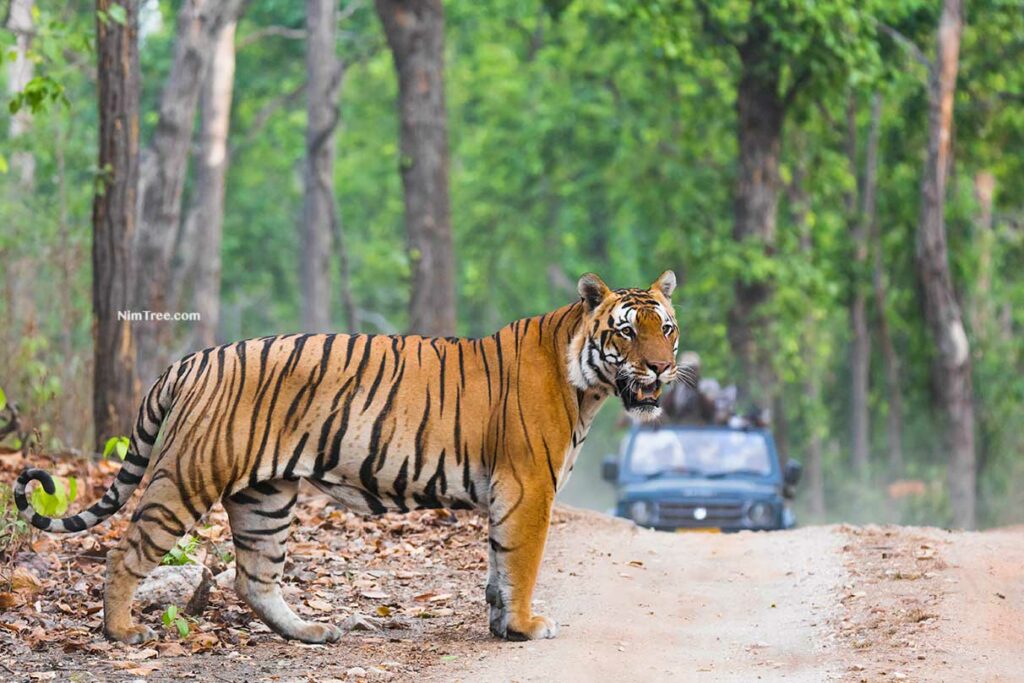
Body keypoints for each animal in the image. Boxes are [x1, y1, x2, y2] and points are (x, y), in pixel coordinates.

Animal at [14, 270, 688, 643]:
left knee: (254, 577)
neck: (586, 383)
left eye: (668, 328)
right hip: (188, 476)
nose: (660, 368)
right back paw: (121, 631)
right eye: (627, 331)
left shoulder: (512, 495)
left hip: (265, 498)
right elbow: (520, 566)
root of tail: (192, 359)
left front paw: (503, 628)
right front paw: (525, 628)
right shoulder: (528, 489)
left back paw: (314, 632)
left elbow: (499, 570)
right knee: (126, 551)